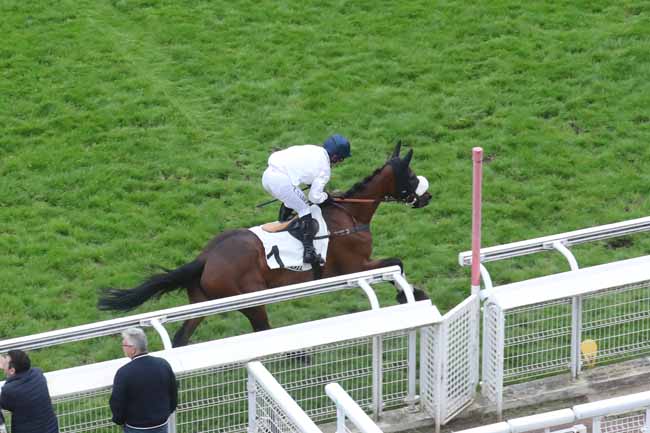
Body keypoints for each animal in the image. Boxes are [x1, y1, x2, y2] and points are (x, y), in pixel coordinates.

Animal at [97, 143, 430, 346]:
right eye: (412, 176)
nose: (427, 196)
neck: (350, 214)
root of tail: (205, 258)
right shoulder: (354, 267)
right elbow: (397, 262)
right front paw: (412, 294)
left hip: (203, 301)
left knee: (181, 338)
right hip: (251, 299)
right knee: (262, 330)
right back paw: (298, 355)